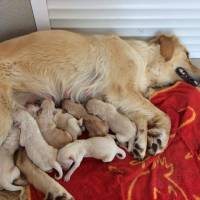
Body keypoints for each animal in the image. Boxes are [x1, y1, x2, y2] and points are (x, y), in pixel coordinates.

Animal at [0, 30, 198, 159]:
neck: (143, 59)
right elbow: (164, 116)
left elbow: (141, 118)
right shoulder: (122, 92)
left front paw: (141, 143)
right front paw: (160, 139)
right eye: (188, 55)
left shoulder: (119, 100)